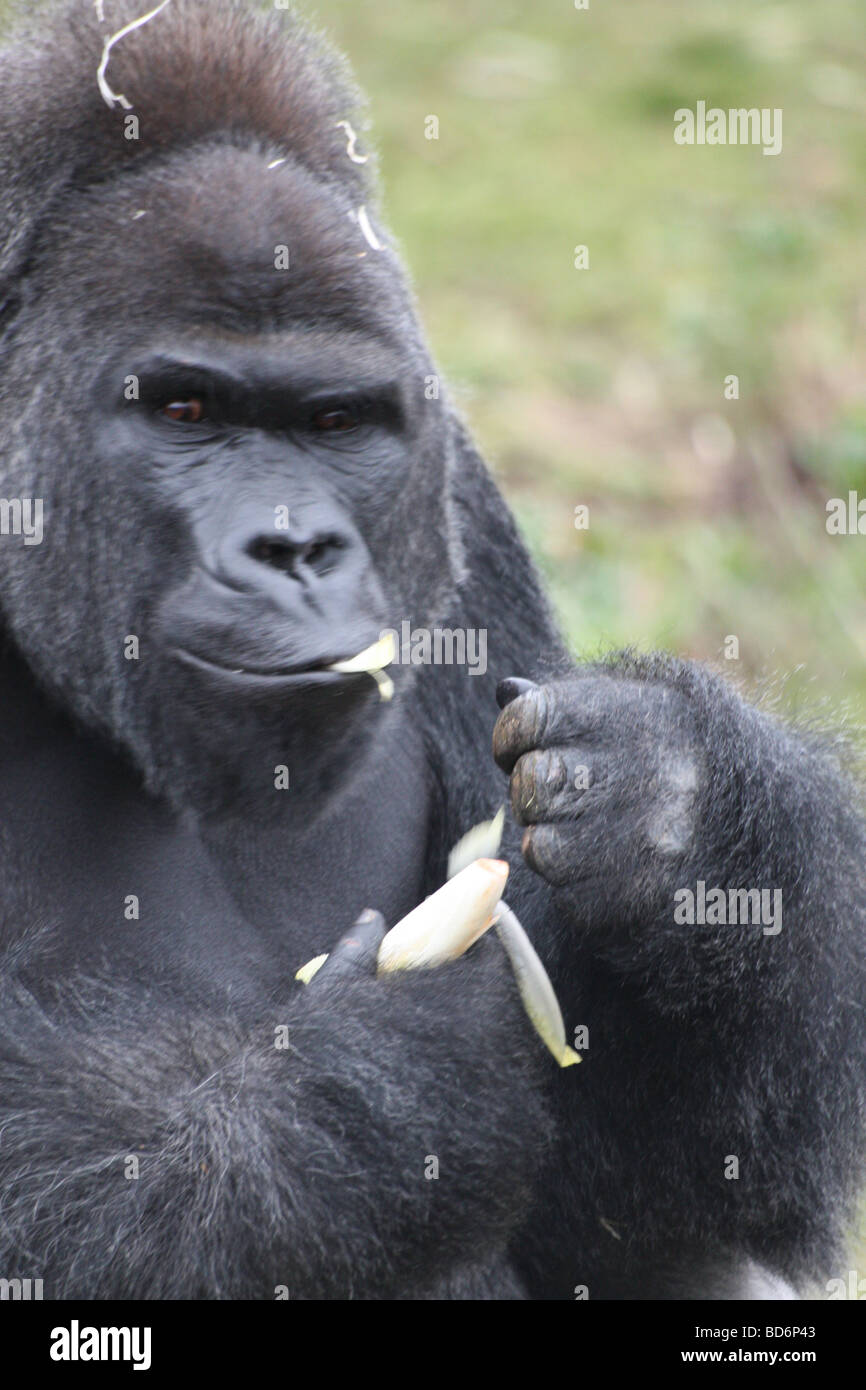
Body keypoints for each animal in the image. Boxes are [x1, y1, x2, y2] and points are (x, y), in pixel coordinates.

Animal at [0, 0, 861, 1301]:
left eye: (336, 421)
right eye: (185, 411)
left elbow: (627, 1205)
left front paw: (681, 812)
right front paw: (373, 1091)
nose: (294, 545)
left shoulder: (455, 491)